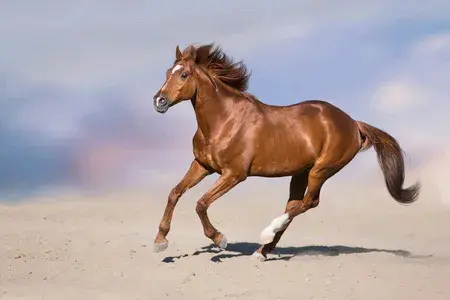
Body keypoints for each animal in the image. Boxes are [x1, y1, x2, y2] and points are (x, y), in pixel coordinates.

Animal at [152, 42, 422, 260]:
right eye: (167, 73)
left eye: (184, 74)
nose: (159, 101)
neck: (224, 121)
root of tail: (353, 123)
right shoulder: (202, 166)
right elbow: (174, 193)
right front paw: (160, 242)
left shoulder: (234, 174)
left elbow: (201, 204)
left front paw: (220, 239)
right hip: (300, 173)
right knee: (294, 205)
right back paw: (263, 251)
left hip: (321, 170)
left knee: (308, 203)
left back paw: (266, 234)